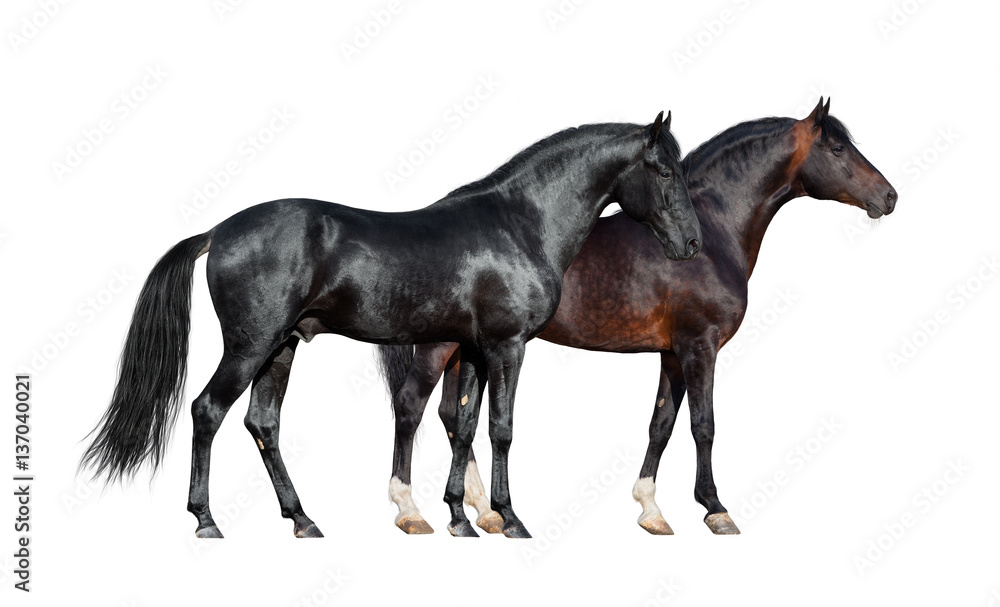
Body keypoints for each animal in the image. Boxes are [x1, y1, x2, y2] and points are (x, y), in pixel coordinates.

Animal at [80, 111, 704, 540]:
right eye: (663, 169)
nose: (692, 244)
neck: (518, 224)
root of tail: (218, 231)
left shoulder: (472, 348)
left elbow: (463, 426)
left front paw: (460, 519)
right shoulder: (507, 347)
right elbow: (500, 428)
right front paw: (509, 518)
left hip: (280, 347)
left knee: (262, 423)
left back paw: (302, 519)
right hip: (249, 346)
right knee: (207, 411)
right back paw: (207, 520)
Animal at [378, 98, 896, 536]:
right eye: (837, 147)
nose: (889, 197)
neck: (712, 230)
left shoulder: (673, 353)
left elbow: (661, 424)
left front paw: (651, 509)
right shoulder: (700, 346)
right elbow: (703, 425)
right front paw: (715, 508)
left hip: (464, 347)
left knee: (451, 415)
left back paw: (478, 512)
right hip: (440, 346)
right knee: (413, 406)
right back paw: (416, 512)